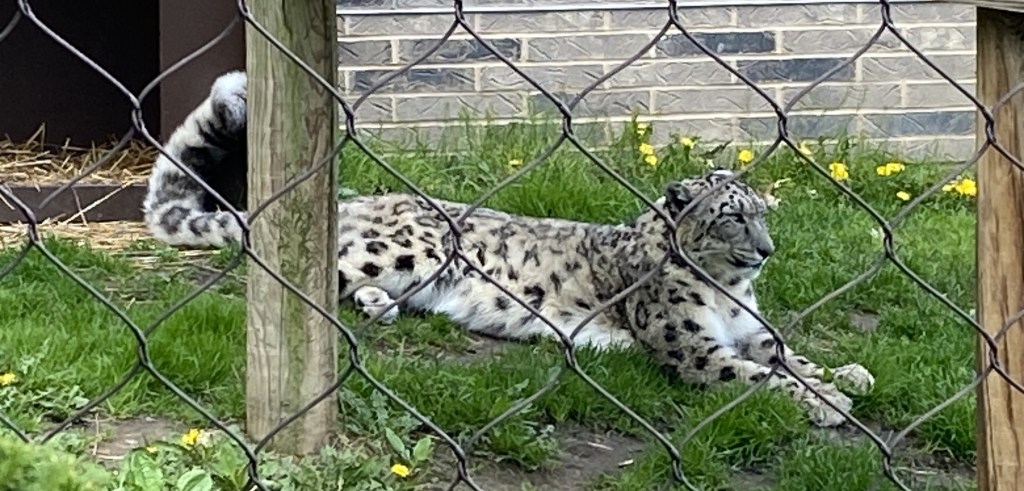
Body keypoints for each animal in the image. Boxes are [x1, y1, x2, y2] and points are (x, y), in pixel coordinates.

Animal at [143, 70, 875, 427]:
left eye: (762, 213)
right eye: (730, 218)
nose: (767, 251)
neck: (730, 292)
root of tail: (357, 201)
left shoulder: (751, 330)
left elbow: (790, 354)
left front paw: (849, 375)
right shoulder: (693, 346)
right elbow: (762, 377)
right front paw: (827, 403)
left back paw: (381, 306)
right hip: (408, 246)